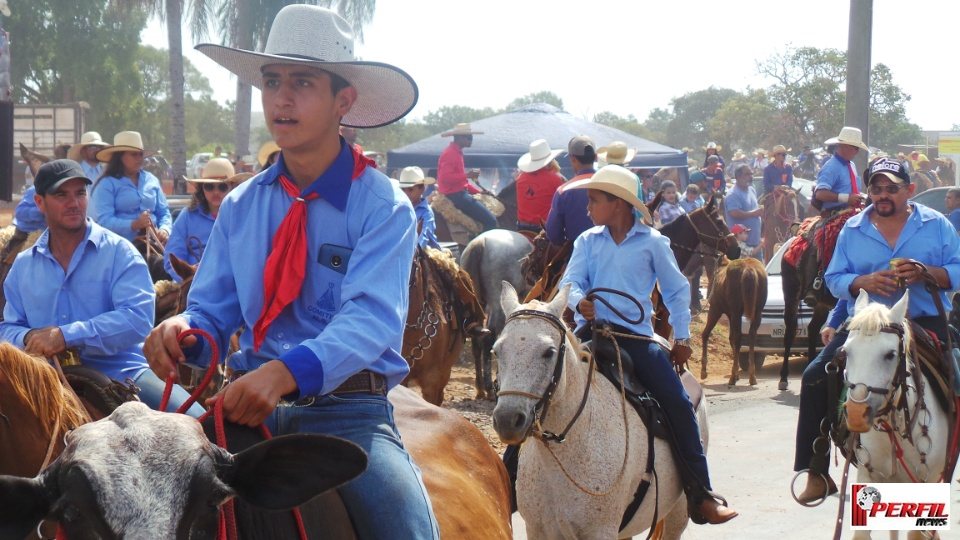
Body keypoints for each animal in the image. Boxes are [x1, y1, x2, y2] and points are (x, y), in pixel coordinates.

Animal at [460, 230, 532, 398]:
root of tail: (481, 242)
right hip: (498, 307)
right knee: (488, 340)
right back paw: (489, 388)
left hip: (478, 306)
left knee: (477, 341)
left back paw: (480, 388)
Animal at [492, 282, 700, 540]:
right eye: (496, 351)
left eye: (549, 351)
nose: (507, 420)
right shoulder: (538, 530)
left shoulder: (601, 531)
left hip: (677, 513)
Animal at [696, 256, 764, 384]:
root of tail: (749, 269)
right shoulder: (730, 314)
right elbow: (731, 338)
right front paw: (737, 371)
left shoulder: (715, 309)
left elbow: (705, 334)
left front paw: (703, 371)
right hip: (757, 313)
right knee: (751, 336)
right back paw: (752, 376)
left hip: (735, 312)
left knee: (738, 337)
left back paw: (732, 378)